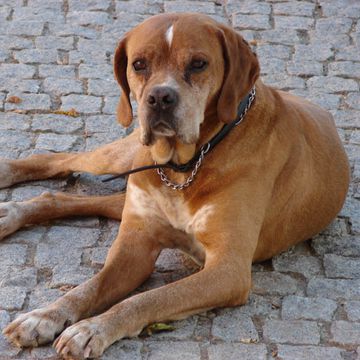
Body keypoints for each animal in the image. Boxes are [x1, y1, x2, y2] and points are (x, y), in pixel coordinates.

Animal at [0, 12, 348, 358]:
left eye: (198, 64)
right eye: (139, 64)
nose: (160, 98)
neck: (185, 166)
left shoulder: (228, 270)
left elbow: (145, 299)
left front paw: (92, 329)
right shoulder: (135, 247)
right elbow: (89, 287)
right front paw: (45, 315)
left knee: (64, 196)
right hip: (124, 159)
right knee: (62, 160)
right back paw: (8, 181)